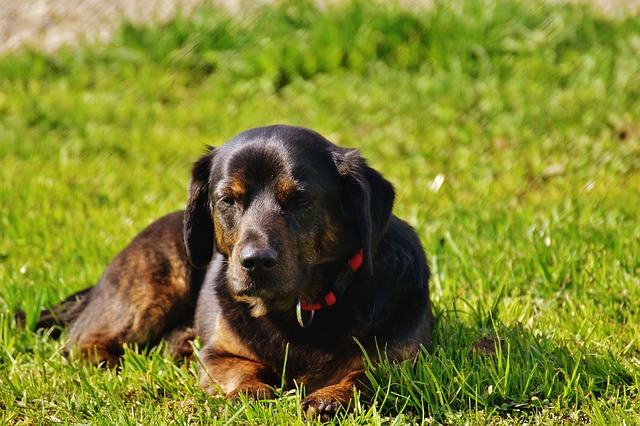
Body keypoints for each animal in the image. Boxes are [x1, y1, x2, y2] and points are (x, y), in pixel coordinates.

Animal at [35, 125, 436, 418]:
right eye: (228, 199)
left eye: (301, 199)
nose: (255, 261)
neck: (297, 310)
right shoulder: (218, 356)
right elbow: (240, 370)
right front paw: (252, 392)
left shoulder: (405, 362)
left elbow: (366, 374)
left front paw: (331, 396)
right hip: (149, 290)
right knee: (80, 342)